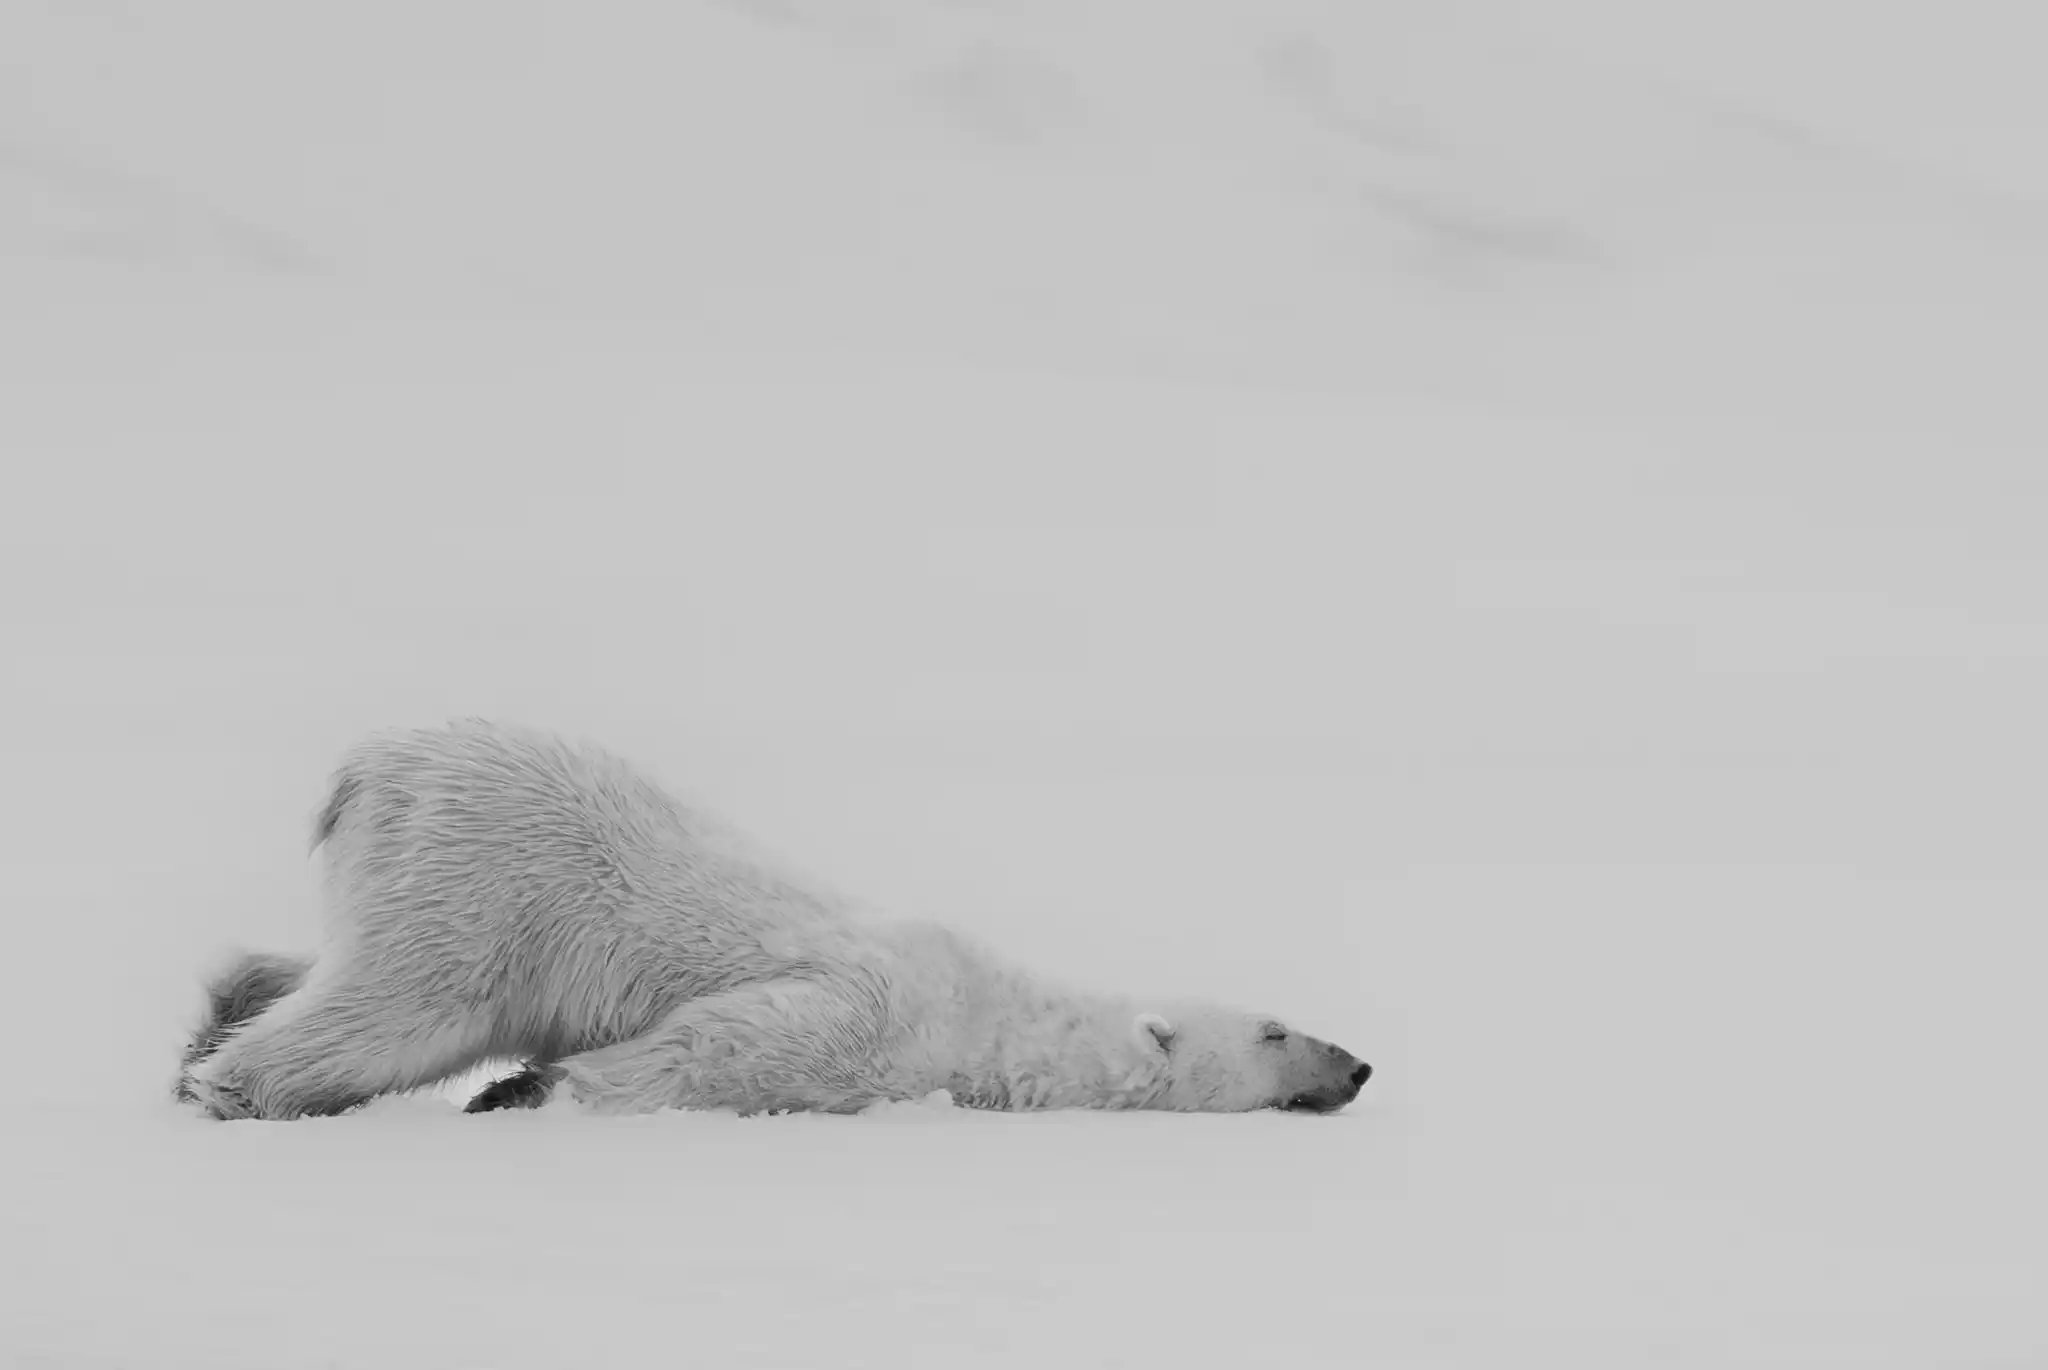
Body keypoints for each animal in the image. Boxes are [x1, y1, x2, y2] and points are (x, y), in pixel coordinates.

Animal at [176, 719, 1372, 1122]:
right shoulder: (876, 996)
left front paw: (519, 1088)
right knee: (402, 1004)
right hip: (486, 879)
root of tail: (373, 764)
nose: (1359, 1064)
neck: (995, 1024)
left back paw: (219, 1008)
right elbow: (720, 1042)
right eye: (1276, 1027)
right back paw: (229, 1086)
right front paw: (534, 1093)